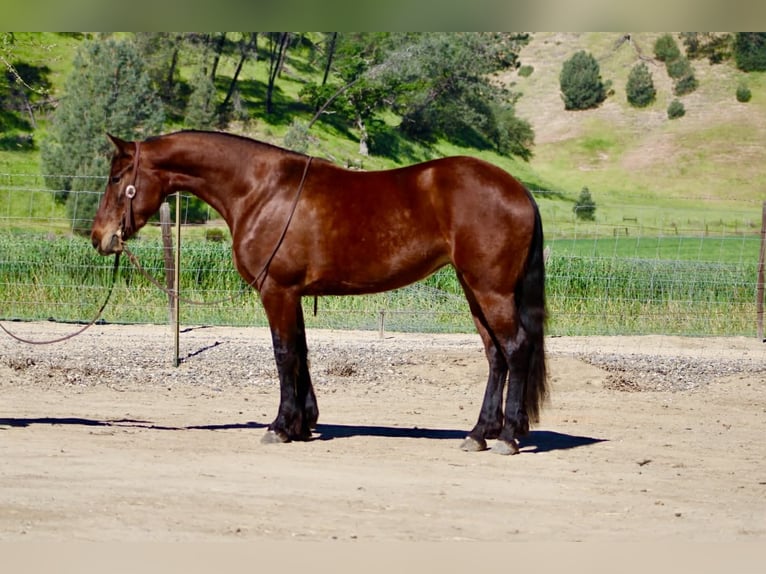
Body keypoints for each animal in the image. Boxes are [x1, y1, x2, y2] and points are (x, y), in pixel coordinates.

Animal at [91, 130, 548, 455]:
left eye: (116, 178)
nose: (100, 237)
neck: (261, 190)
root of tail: (519, 190)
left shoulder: (276, 291)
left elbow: (283, 353)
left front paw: (280, 426)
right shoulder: (292, 293)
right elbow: (301, 351)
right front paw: (303, 422)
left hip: (491, 291)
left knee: (516, 348)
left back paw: (508, 436)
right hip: (475, 290)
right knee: (495, 354)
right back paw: (480, 432)